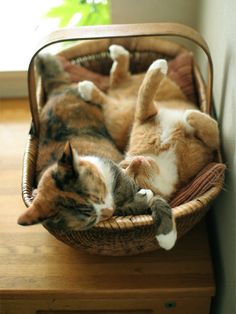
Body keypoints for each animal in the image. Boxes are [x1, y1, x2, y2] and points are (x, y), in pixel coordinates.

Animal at [18, 53, 177, 250]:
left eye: (97, 195)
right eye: (89, 218)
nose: (108, 211)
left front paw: (167, 237)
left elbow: (157, 200)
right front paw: (141, 199)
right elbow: (137, 203)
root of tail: (56, 90)